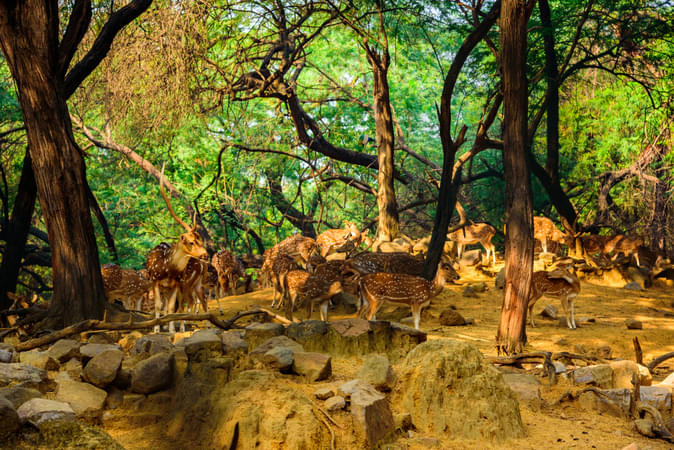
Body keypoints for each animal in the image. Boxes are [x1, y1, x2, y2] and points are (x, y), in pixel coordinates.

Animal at [145, 165, 209, 333]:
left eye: (201, 240)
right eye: (191, 242)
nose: (205, 255)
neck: (167, 268)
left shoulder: (175, 283)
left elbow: (171, 307)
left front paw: (172, 330)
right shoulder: (155, 280)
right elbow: (159, 306)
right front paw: (157, 329)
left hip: (187, 284)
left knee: (192, 301)